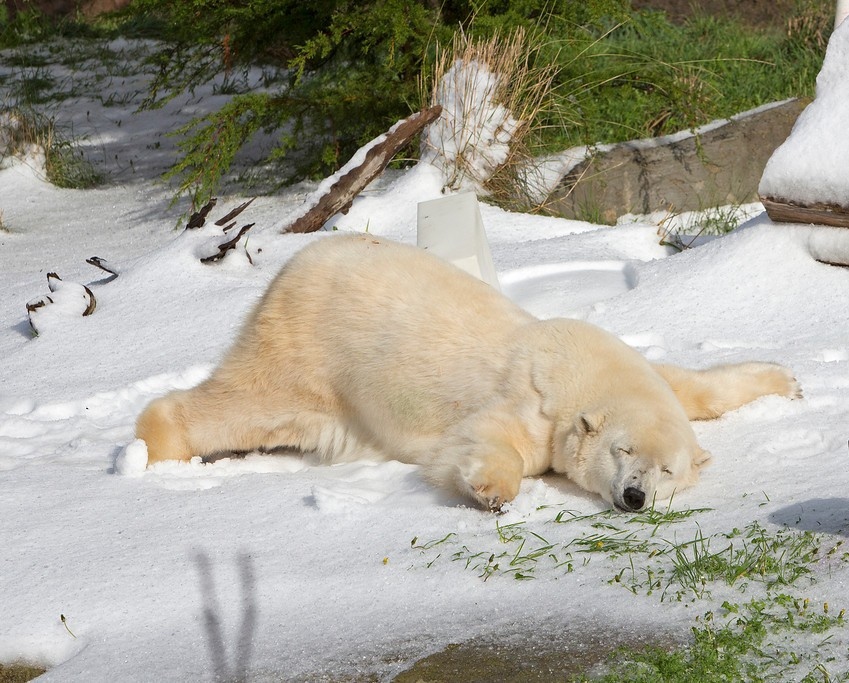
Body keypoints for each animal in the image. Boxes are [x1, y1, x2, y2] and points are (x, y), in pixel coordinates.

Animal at [136, 235, 800, 512]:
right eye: (623, 451)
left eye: (666, 470)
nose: (634, 497)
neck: (586, 370)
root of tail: (292, 264)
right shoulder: (535, 402)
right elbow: (487, 438)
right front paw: (491, 492)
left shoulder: (646, 373)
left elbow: (695, 387)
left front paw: (786, 381)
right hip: (309, 352)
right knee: (247, 402)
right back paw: (155, 443)